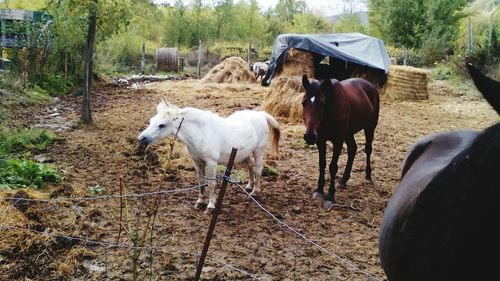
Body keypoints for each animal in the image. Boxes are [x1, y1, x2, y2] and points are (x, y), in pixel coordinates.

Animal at [139, 98, 280, 210]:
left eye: (161, 125)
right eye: (151, 121)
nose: (141, 138)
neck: (202, 133)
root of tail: (260, 115)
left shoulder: (212, 163)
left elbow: (211, 183)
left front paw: (211, 205)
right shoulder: (197, 162)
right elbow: (201, 182)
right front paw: (200, 202)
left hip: (258, 152)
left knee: (258, 170)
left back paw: (255, 192)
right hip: (244, 154)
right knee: (250, 166)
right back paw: (249, 186)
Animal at [300, 74, 378, 208]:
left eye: (322, 103)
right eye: (303, 102)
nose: (309, 136)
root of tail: (371, 85)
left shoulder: (338, 141)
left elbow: (333, 167)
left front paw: (330, 196)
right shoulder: (320, 140)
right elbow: (322, 164)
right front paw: (319, 190)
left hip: (370, 128)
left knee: (368, 150)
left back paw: (368, 176)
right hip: (349, 133)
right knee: (352, 149)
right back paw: (343, 180)